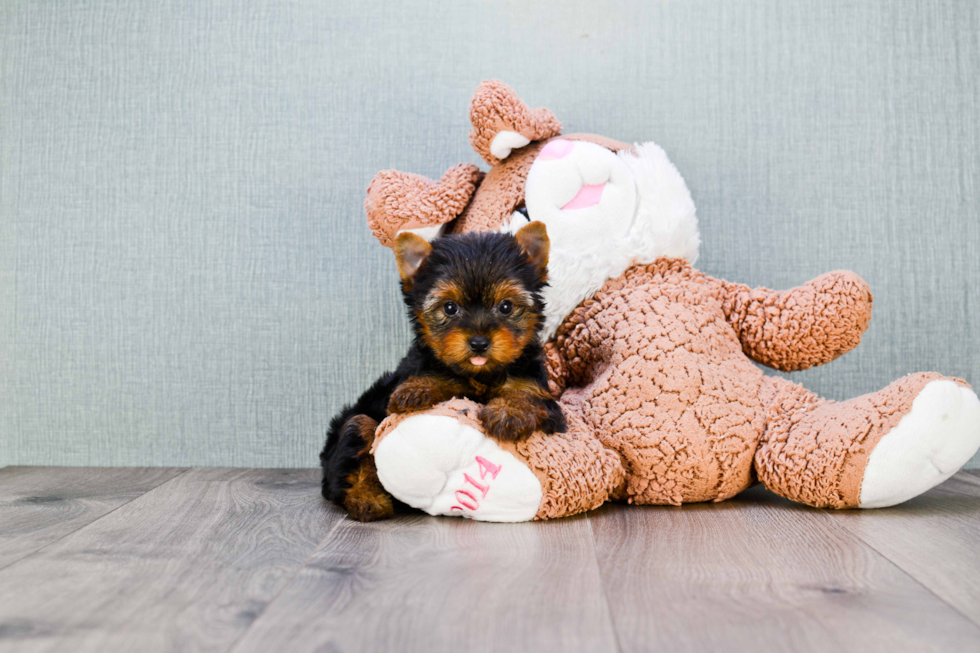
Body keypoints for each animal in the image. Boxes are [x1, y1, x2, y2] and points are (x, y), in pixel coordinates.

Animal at [320, 222, 564, 524]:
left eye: (506, 306)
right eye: (450, 308)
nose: (479, 342)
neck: (480, 375)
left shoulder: (545, 401)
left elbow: (526, 396)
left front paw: (508, 412)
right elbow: (438, 377)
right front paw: (417, 389)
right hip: (356, 425)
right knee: (352, 448)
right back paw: (366, 499)